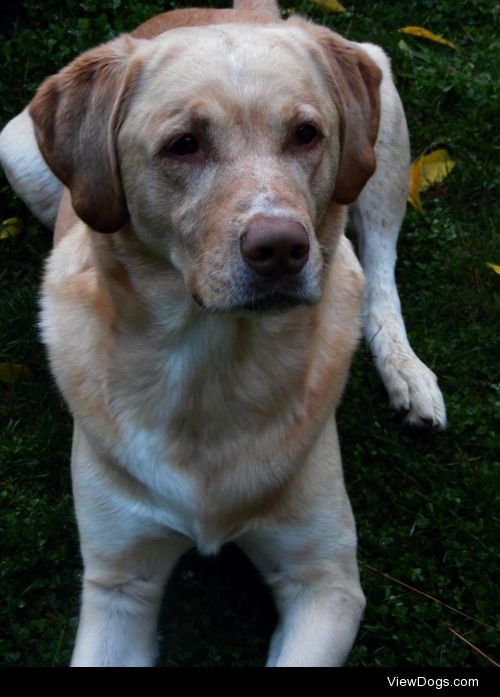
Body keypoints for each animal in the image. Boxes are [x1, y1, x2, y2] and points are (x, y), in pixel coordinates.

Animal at [0, 0, 446, 668]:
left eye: (306, 134)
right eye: (183, 145)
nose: (282, 249)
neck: (212, 367)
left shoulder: (325, 581)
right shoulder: (119, 584)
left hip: (383, 127)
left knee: (379, 268)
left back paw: (408, 375)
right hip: (16, 149)